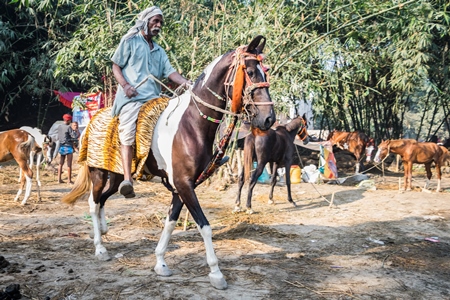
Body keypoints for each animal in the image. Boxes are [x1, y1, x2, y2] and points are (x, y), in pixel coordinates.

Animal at [59, 35, 274, 290]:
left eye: (265, 71)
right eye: (249, 71)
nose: (269, 118)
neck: (191, 124)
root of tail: (91, 122)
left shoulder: (182, 186)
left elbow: (170, 222)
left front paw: (160, 261)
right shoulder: (183, 183)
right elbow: (204, 226)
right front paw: (216, 273)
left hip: (117, 176)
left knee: (103, 199)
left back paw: (103, 230)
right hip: (98, 173)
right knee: (93, 202)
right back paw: (100, 247)